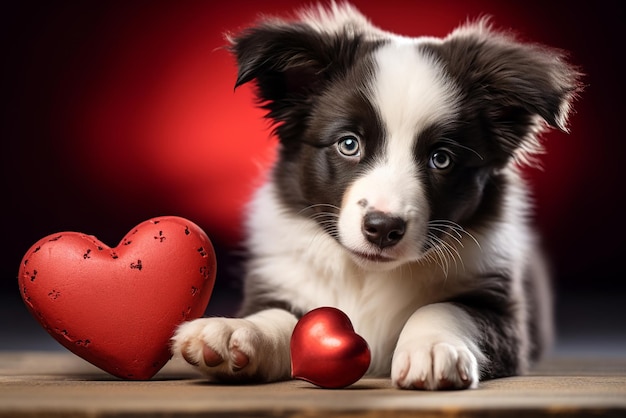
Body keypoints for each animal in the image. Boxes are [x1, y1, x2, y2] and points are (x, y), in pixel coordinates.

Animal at [172, 1, 580, 390]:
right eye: (349, 144)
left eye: (441, 159)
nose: (383, 228)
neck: (367, 274)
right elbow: (282, 315)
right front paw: (234, 331)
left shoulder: (505, 313)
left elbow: (446, 307)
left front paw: (432, 348)